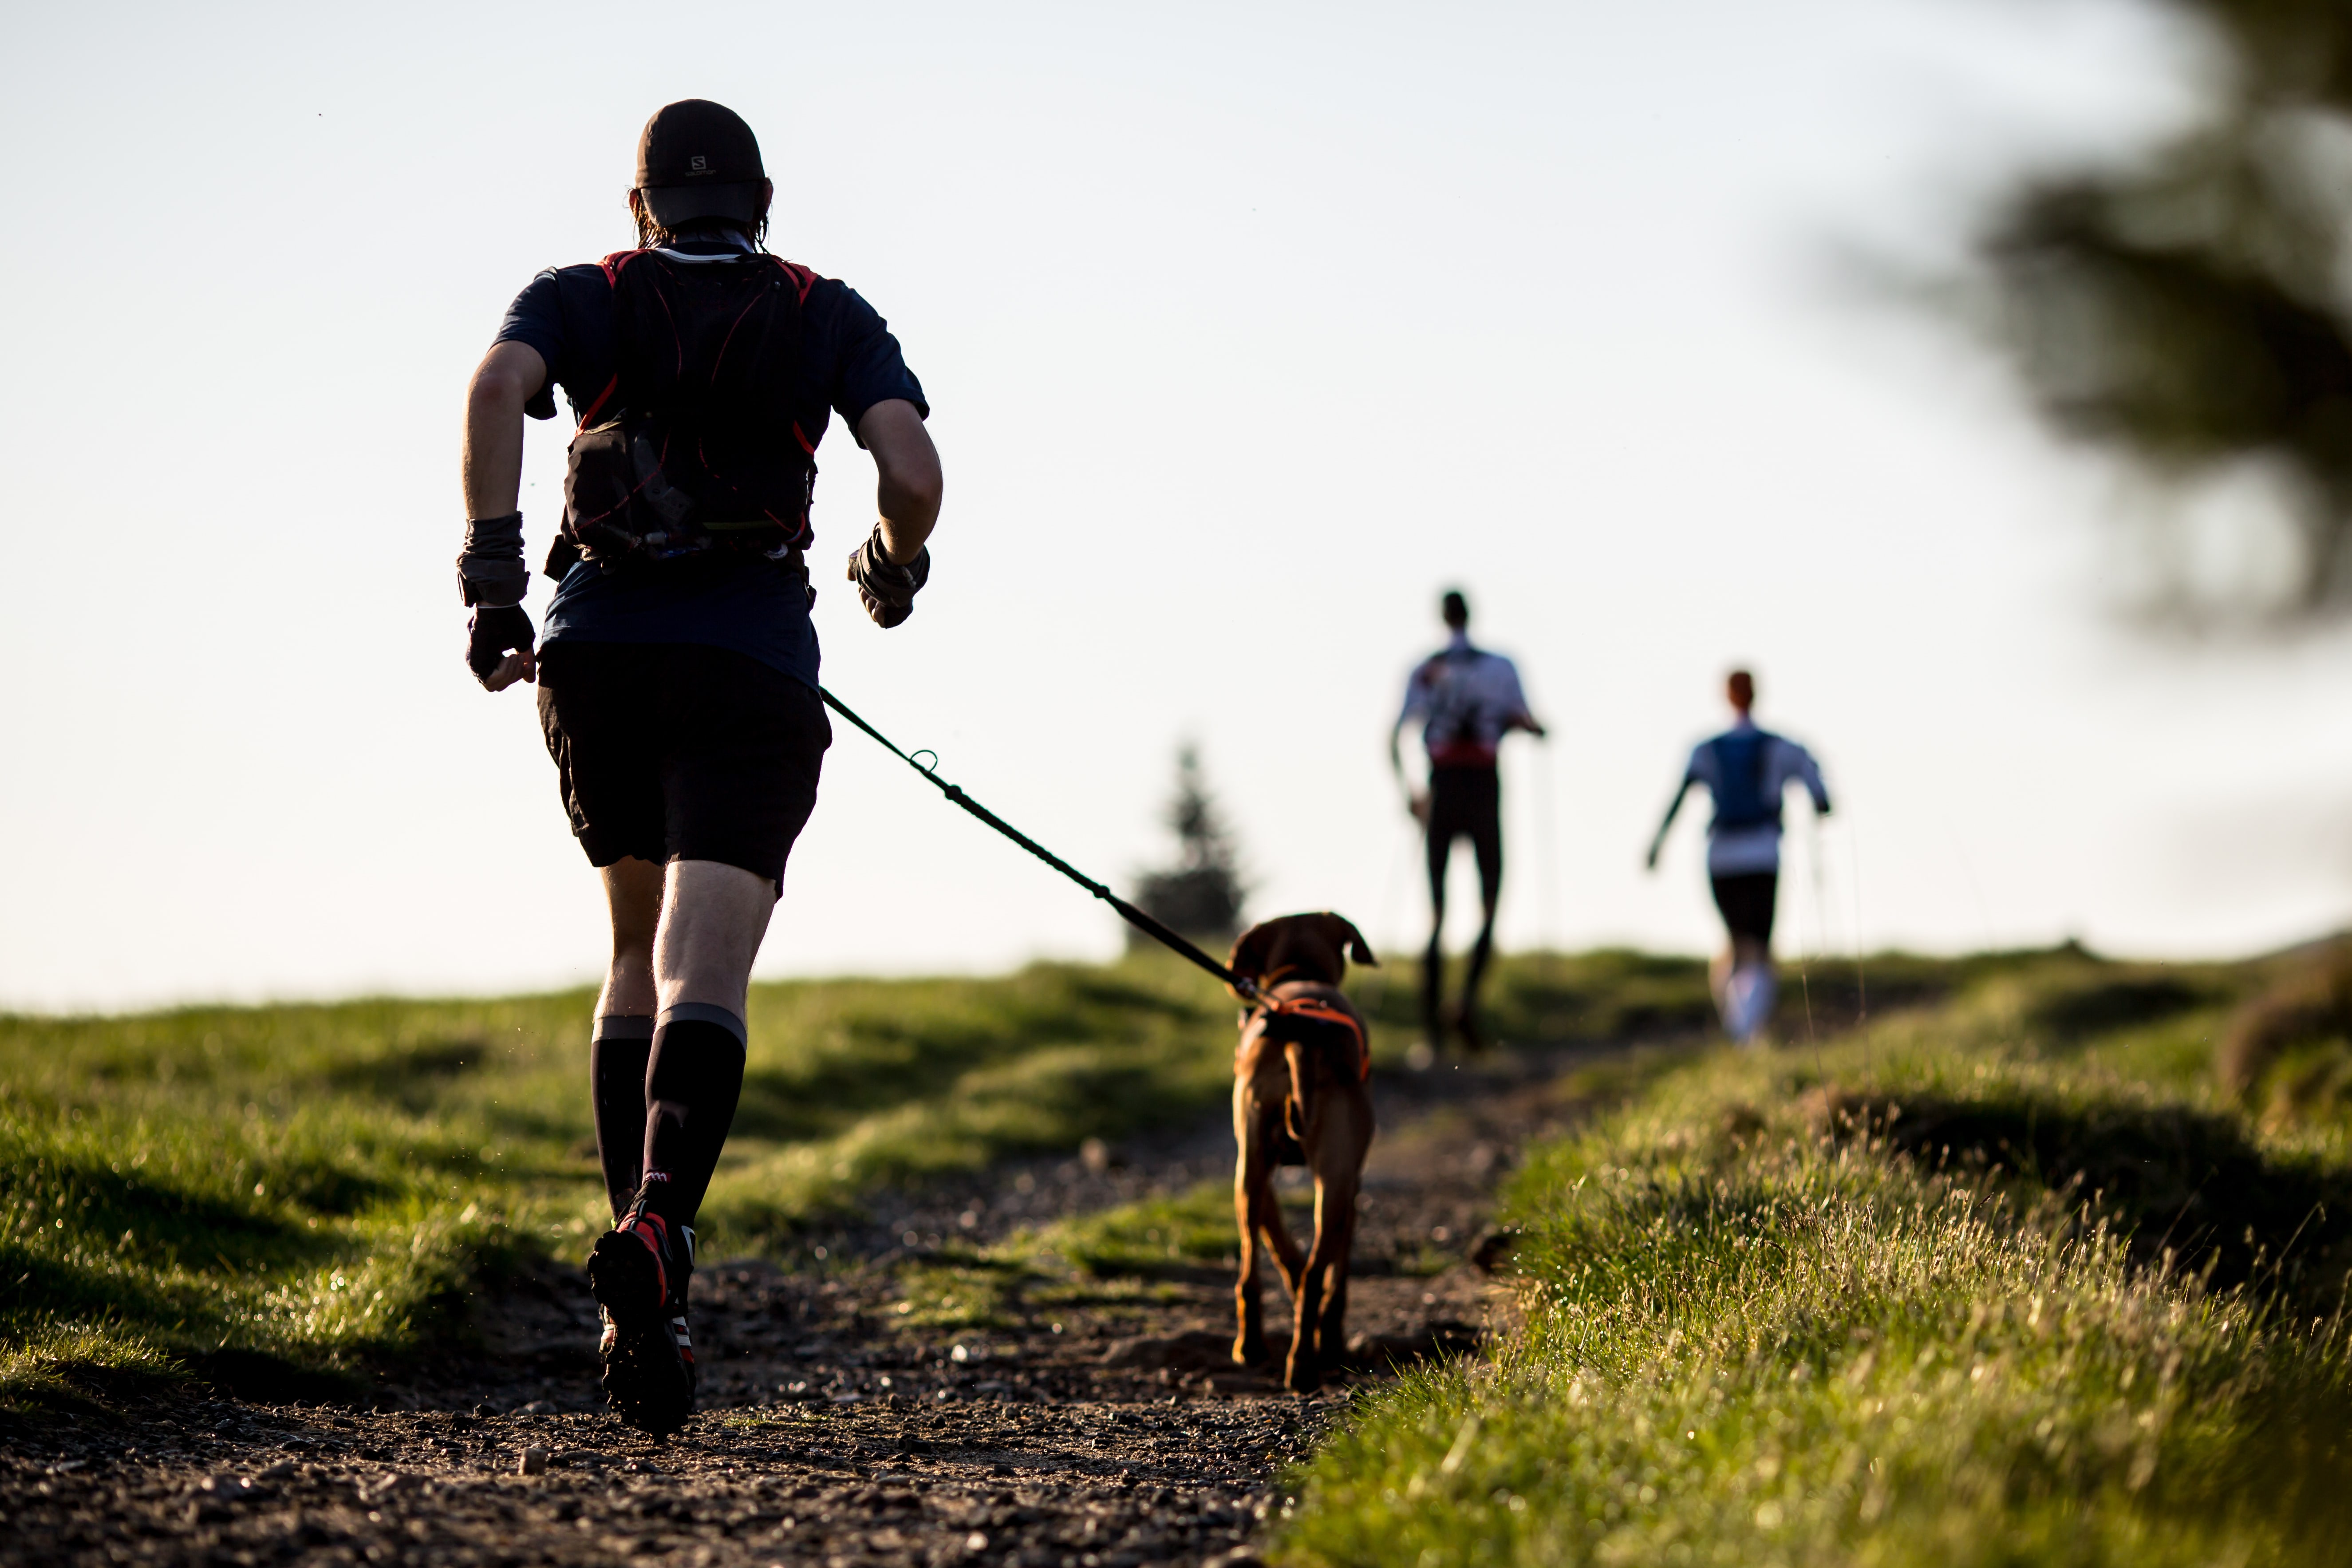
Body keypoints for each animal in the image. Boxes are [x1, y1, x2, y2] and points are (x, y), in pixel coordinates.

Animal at [1232, 912, 1373, 1391]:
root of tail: (1299, 1037)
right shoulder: (1353, 1180)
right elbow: (1337, 1273)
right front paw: (1328, 1339)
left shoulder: (1259, 1166)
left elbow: (1281, 1246)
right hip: (1331, 1176)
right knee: (1317, 1273)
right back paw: (1306, 1361)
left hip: (1251, 1169)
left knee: (1252, 1274)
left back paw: (1261, 1349)